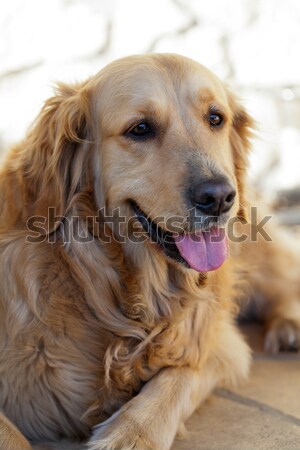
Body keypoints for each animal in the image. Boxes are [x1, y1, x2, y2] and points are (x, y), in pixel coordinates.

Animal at [0, 53, 298, 450]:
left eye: (215, 118)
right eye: (140, 128)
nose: (219, 197)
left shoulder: (218, 345)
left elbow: (178, 376)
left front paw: (132, 434)